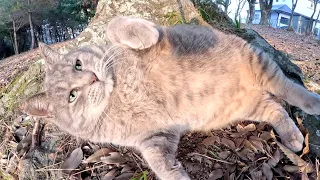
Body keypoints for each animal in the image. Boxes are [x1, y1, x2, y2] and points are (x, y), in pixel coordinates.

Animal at [21, 16, 320, 179]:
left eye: (78, 64)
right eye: (72, 96)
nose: (92, 78)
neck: (119, 93)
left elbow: (115, 26)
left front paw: (143, 34)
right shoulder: (153, 139)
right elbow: (161, 166)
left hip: (259, 64)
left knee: (289, 88)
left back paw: (313, 102)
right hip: (250, 104)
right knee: (275, 108)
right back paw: (293, 137)